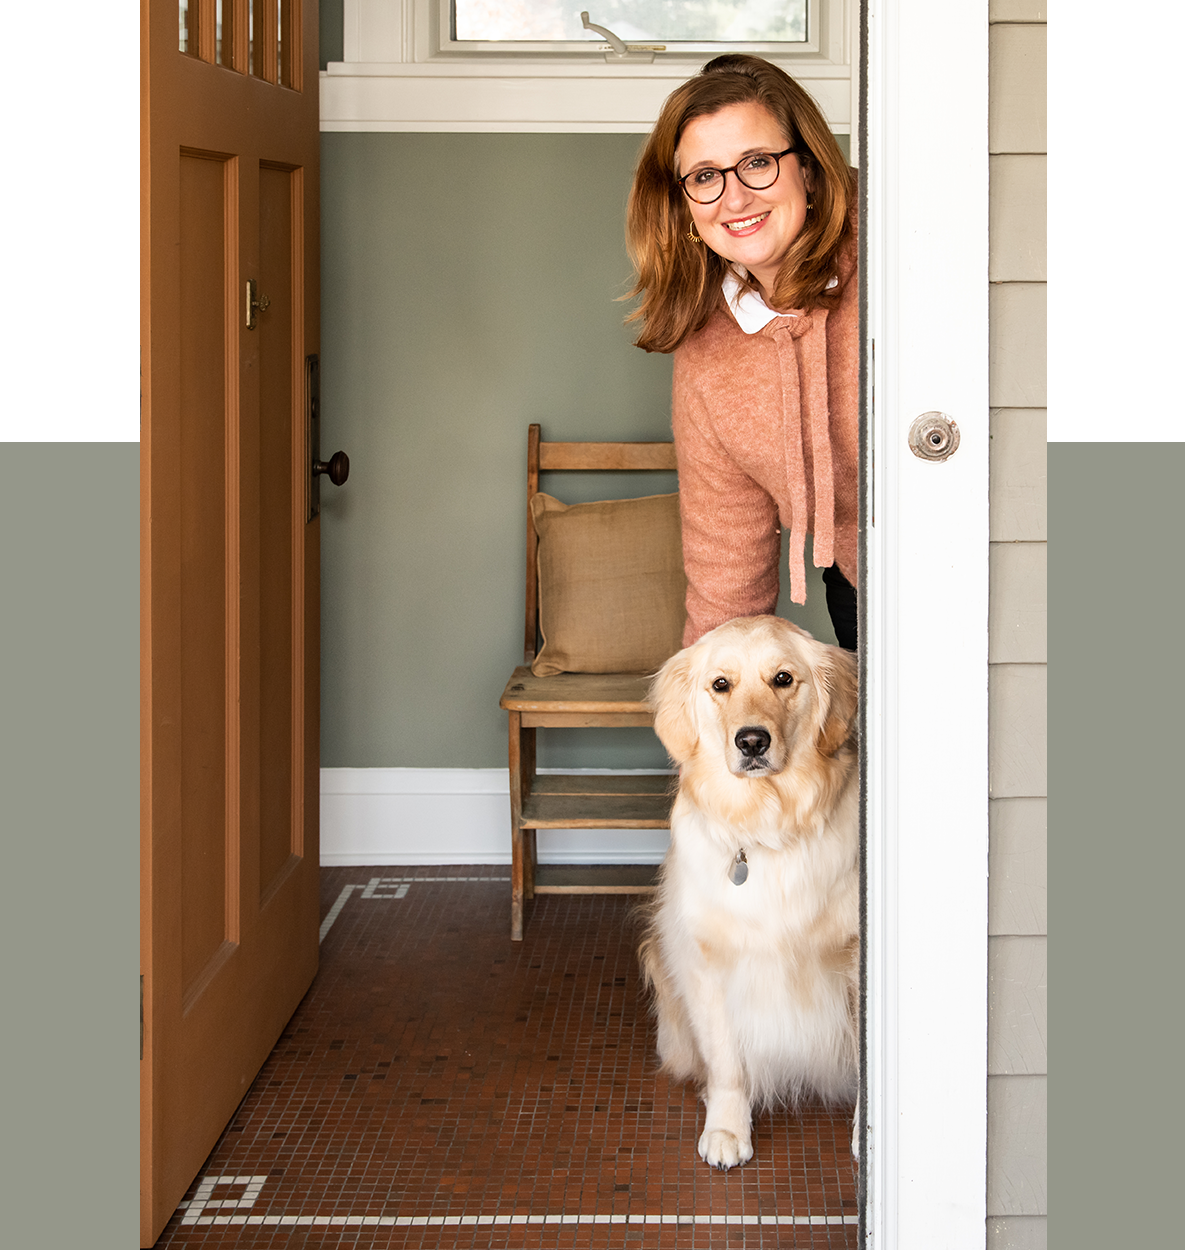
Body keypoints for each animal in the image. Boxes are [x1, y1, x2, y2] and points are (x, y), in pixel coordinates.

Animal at [640, 615, 860, 1170]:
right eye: (721, 684)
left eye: (783, 679)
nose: (753, 742)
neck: (768, 825)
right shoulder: (705, 964)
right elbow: (727, 1065)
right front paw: (726, 1130)